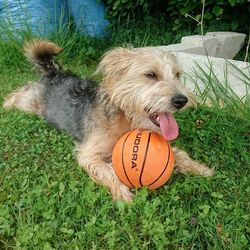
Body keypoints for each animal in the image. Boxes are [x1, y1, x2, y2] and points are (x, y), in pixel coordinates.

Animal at [2, 40, 214, 202]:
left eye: (177, 75)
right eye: (151, 75)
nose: (182, 100)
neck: (126, 118)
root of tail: (54, 73)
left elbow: (179, 154)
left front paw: (201, 169)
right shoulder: (88, 154)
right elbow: (108, 170)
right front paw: (123, 195)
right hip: (29, 102)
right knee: (16, 94)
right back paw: (5, 105)